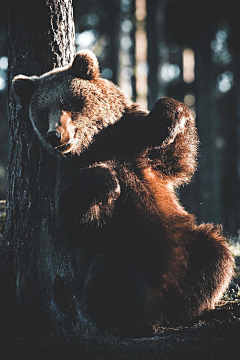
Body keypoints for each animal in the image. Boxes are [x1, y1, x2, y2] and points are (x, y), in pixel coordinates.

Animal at [12, 50, 234, 334]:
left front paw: (168, 118)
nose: (55, 136)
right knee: (114, 273)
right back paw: (132, 323)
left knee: (214, 254)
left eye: (69, 102)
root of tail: (162, 298)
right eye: (42, 112)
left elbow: (179, 159)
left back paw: (199, 310)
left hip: (184, 245)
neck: (100, 142)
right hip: (124, 250)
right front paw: (107, 181)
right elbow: (75, 220)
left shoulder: (136, 142)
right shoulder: (69, 171)